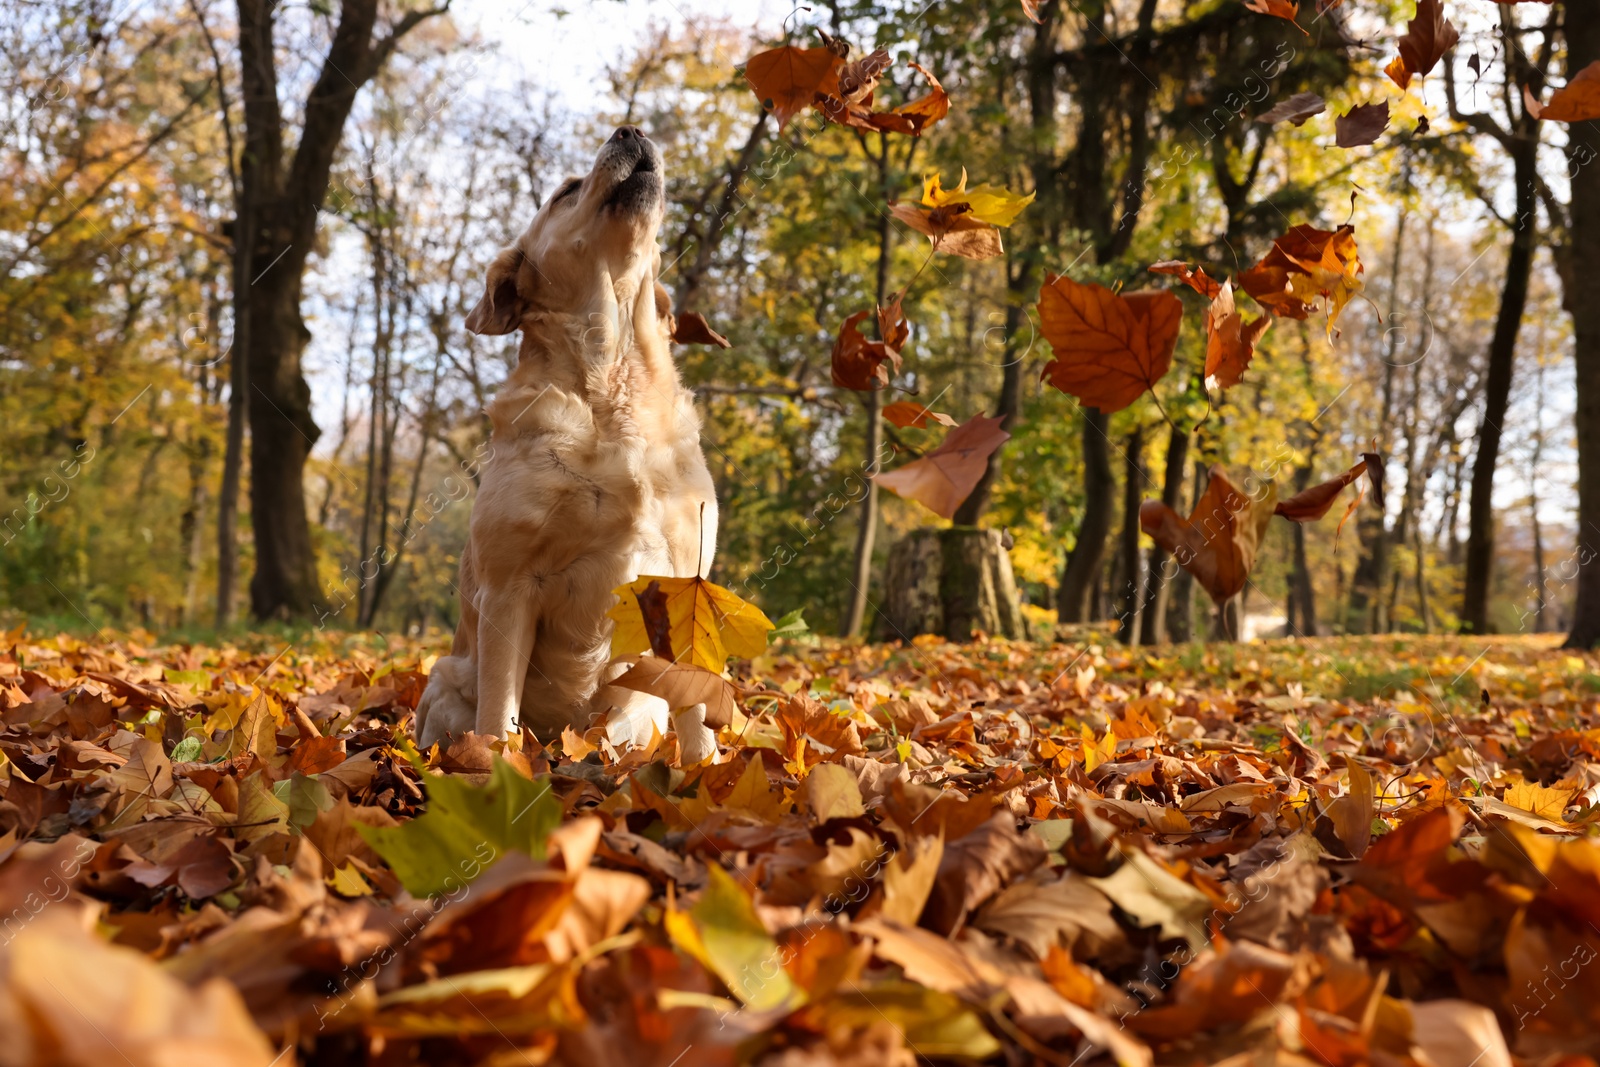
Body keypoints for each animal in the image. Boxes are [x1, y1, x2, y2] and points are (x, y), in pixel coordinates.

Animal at [412, 127, 720, 751]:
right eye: (567, 191)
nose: (632, 129)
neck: (612, 379)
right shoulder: (509, 588)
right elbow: (498, 715)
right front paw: (495, 765)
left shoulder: (688, 580)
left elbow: (698, 712)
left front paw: (712, 768)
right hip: (444, 684)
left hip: (638, 711)